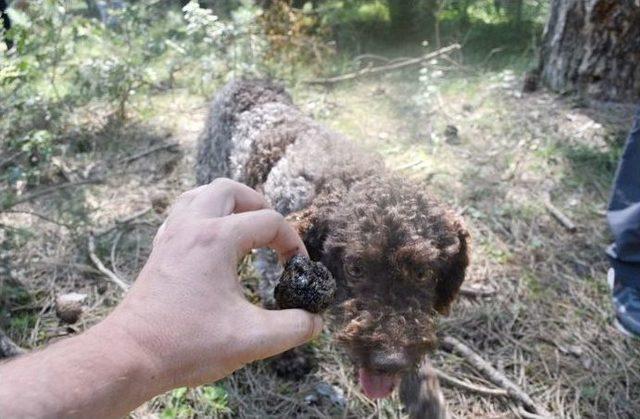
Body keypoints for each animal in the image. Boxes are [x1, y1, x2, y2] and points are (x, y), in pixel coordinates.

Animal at [196, 79, 470, 419]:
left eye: (422, 273)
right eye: (355, 268)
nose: (389, 361)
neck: (343, 180)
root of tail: (246, 80)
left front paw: (425, 396)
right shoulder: (275, 263)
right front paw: (289, 358)